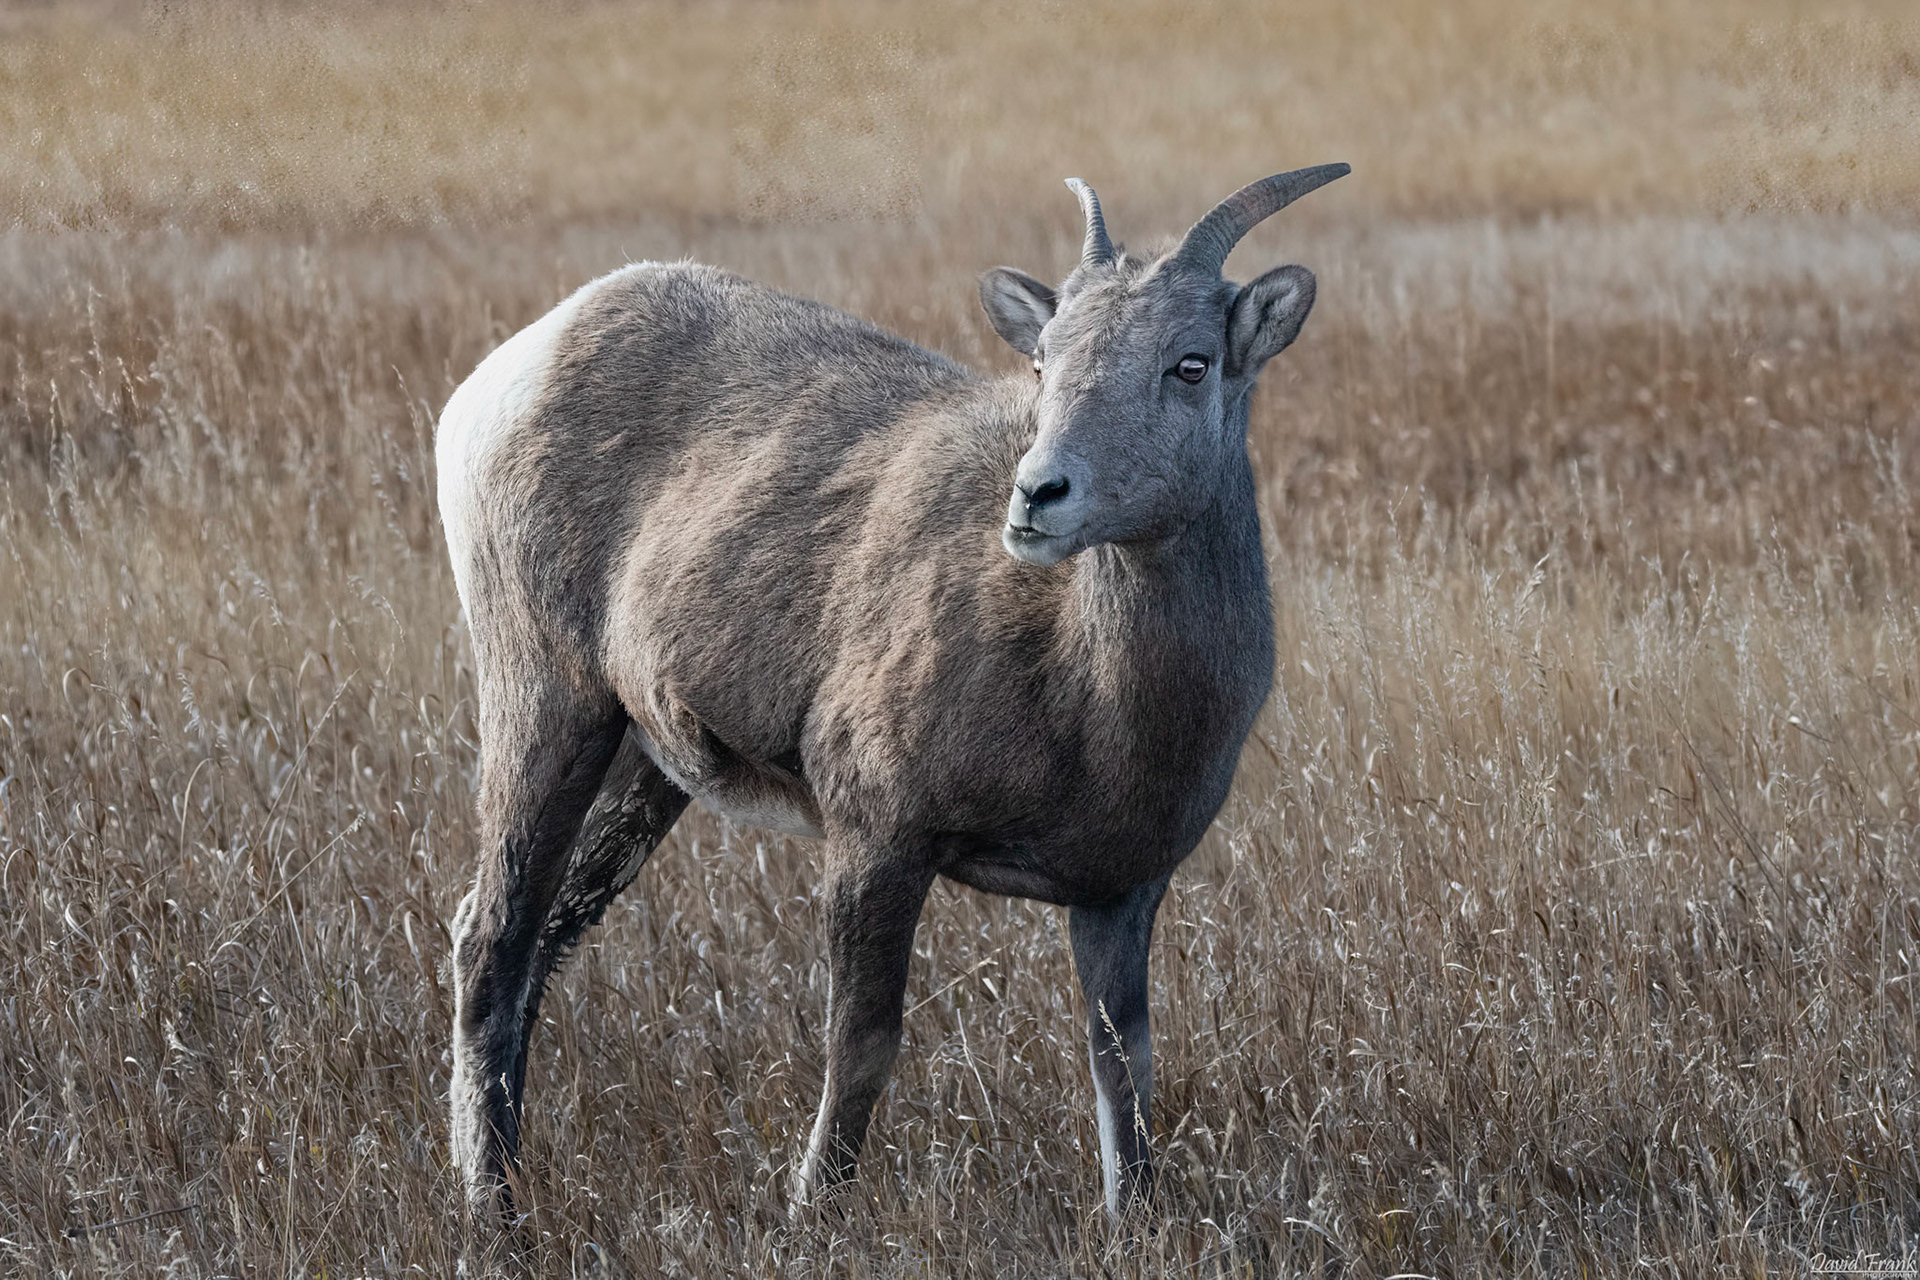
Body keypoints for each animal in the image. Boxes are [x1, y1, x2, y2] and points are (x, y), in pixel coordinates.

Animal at [435, 164, 1349, 1220]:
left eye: (1190, 365)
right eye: (1044, 363)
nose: (1037, 498)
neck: (1086, 693)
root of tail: (513, 366)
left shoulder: (1119, 895)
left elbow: (1124, 1077)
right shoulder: (877, 841)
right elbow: (862, 1052)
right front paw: (808, 1216)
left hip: (643, 768)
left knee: (537, 944)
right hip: (549, 707)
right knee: (492, 942)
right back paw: (492, 1215)